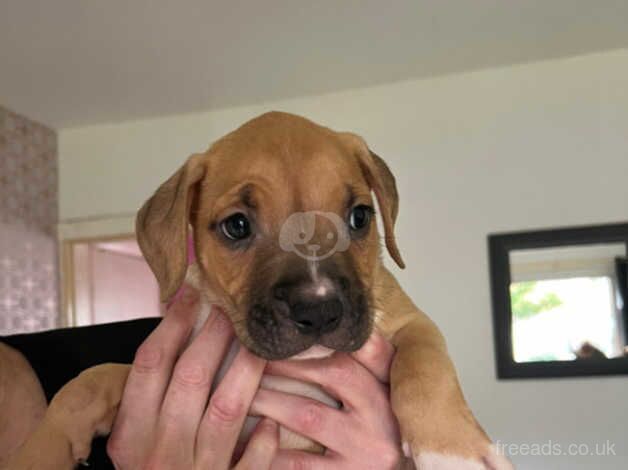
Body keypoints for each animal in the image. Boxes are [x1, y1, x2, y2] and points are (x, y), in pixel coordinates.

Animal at [2, 114, 512, 470]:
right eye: (237, 226)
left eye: (360, 217)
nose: (320, 310)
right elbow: (90, 380)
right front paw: (38, 452)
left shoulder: (409, 323)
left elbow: (425, 363)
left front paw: (453, 451)